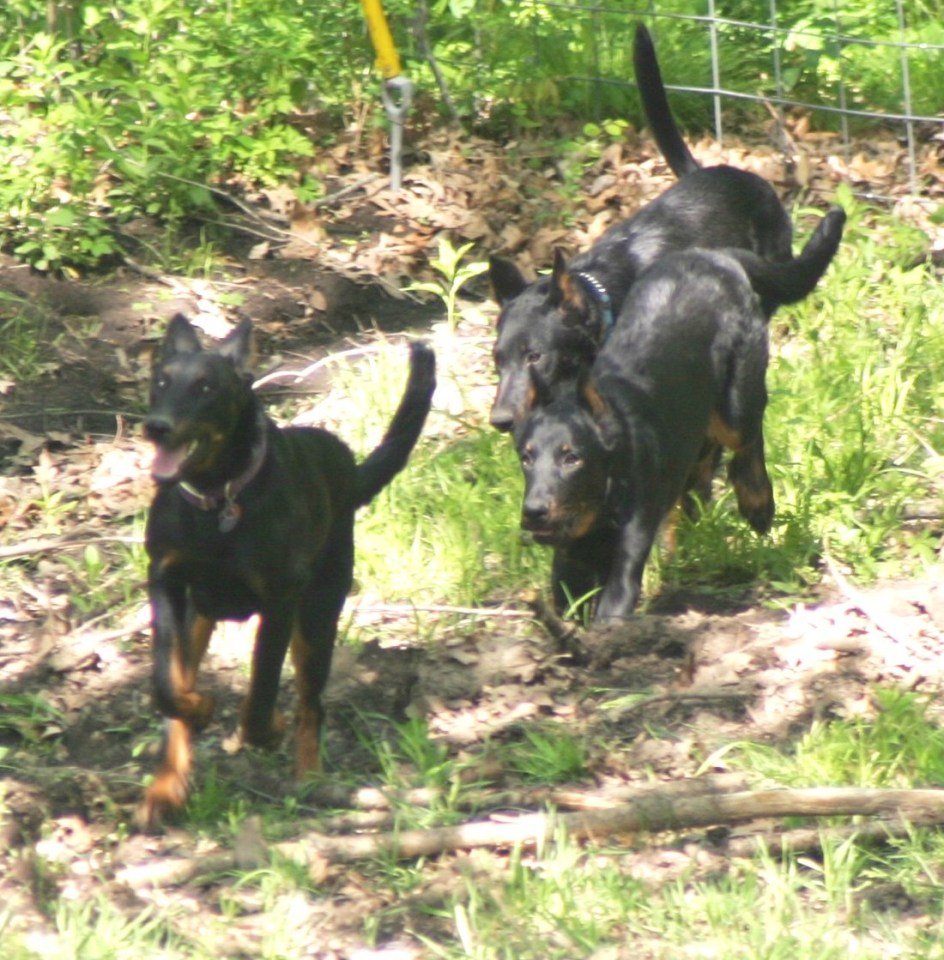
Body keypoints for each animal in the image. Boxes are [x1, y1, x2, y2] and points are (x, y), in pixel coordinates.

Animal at [136, 314, 435, 829]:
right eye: (160, 381)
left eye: (207, 387)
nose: (157, 428)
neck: (217, 499)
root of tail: (348, 470)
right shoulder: (166, 580)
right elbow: (167, 687)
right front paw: (198, 711)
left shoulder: (280, 599)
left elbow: (261, 694)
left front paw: (268, 729)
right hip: (201, 614)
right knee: (183, 689)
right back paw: (166, 787)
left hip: (318, 615)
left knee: (312, 705)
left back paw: (309, 778)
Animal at [516, 207, 845, 621]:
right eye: (526, 458)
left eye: (572, 457)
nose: (533, 512)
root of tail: (715, 256)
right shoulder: (570, 562)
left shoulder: (630, 549)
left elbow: (612, 609)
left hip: (737, 400)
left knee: (747, 437)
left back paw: (757, 500)